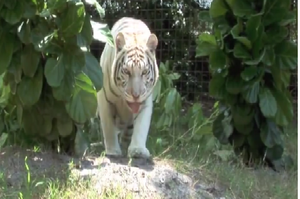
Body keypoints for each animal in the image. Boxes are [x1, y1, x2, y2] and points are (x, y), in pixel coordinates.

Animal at [98, 17, 159, 158]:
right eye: (126, 71)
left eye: (144, 72)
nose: (136, 95)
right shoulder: (104, 98)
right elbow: (108, 126)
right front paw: (113, 151)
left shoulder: (145, 101)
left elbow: (141, 126)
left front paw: (138, 150)